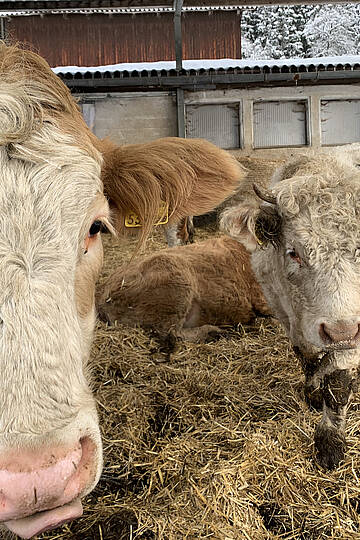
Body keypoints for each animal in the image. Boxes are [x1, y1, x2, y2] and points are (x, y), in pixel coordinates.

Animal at [219, 151, 360, 468]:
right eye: (294, 252)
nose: (340, 332)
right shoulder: (284, 313)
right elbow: (306, 358)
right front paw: (313, 392)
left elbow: (337, 381)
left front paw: (330, 441)